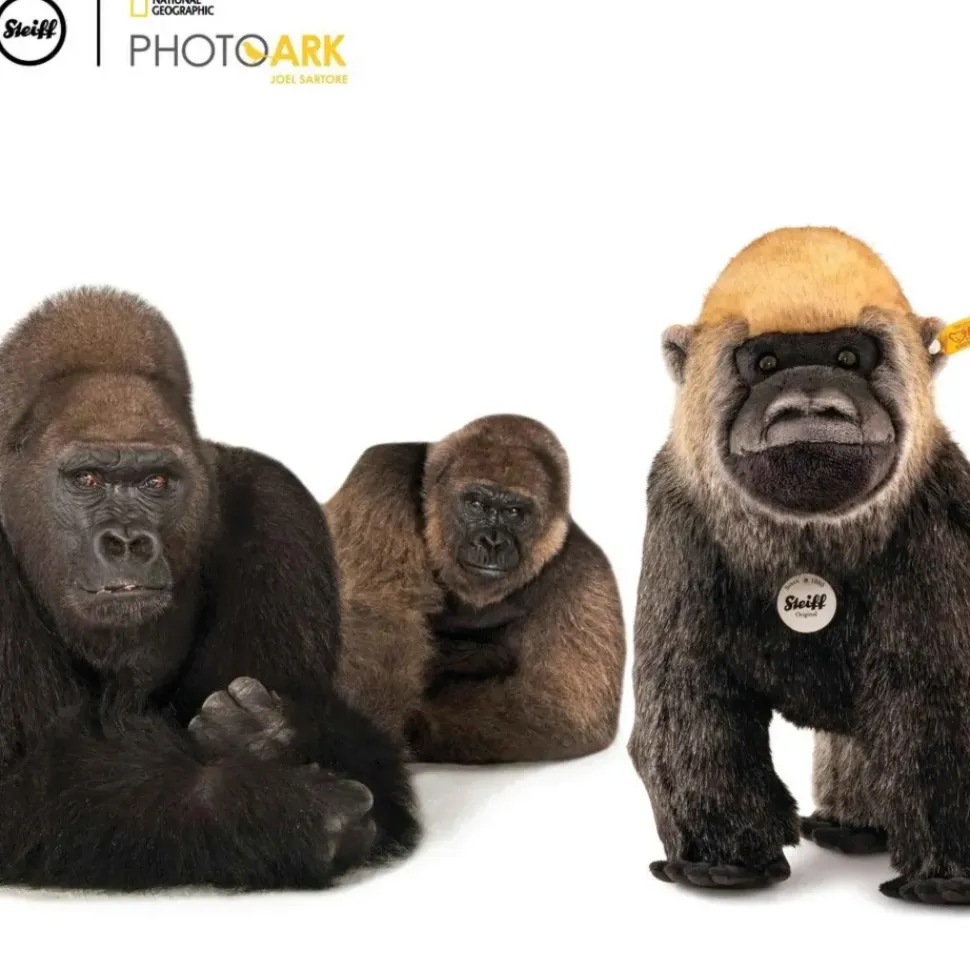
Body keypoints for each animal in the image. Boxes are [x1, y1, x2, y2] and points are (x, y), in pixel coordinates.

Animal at [0, 287, 419, 890]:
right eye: (87, 479)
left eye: (156, 482)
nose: (127, 541)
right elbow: (14, 789)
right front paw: (273, 808)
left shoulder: (278, 507)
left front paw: (280, 734)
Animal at [323, 415, 625, 764]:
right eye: (476, 504)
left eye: (515, 513)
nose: (492, 541)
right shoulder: (384, 476)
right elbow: (382, 618)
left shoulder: (583, 567)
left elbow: (564, 709)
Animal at [628, 226, 970, 904]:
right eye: (764, 364)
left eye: (849, 357)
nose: (811, 405)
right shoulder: (677, 512)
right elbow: (687, 699)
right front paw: (724, 861)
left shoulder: (939, 506)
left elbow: (935, 699)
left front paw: (946, 878)